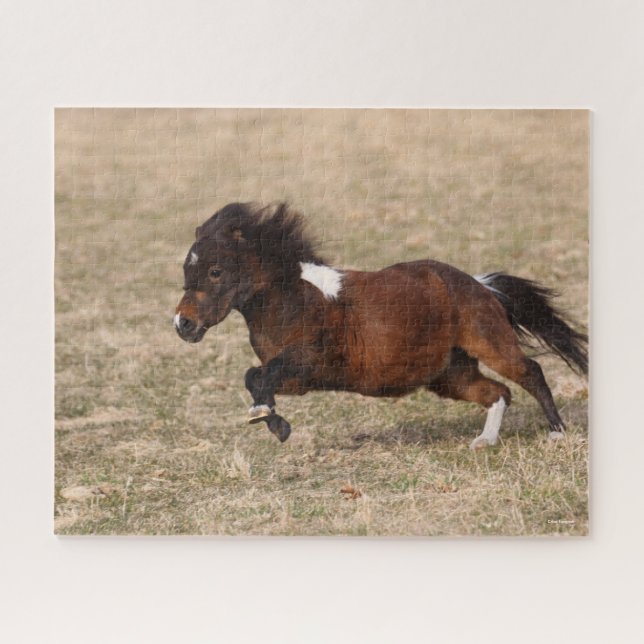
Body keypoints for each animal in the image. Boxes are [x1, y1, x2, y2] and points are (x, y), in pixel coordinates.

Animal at [174, 202, 588, 449]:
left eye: (215, 271)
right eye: (186, 269)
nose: (183, 324)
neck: (294, 300)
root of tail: (478, 284)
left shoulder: (309, 362)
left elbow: (261, 376)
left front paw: (269, 420)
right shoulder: (299, 380)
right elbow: (254, 376)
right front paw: (273, 422)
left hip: (488, 342)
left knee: (529, 372)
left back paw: (557, 432)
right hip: (449, 375)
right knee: (498, 392)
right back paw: (484, 442)